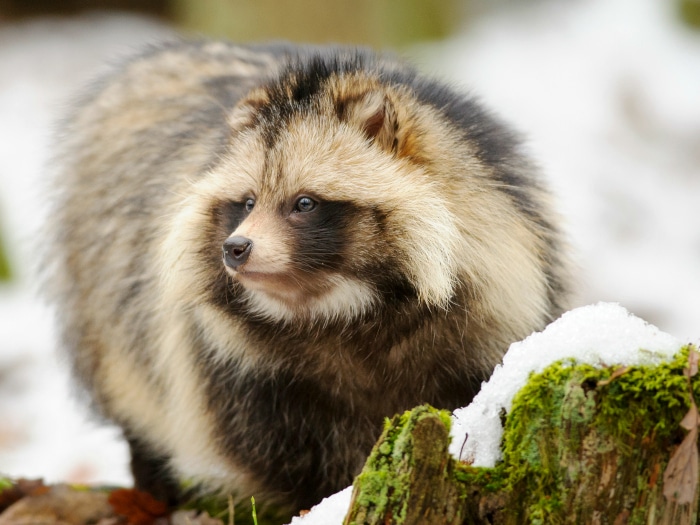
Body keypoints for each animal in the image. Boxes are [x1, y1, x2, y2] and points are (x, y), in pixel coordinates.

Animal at [49, 40, 572, 512]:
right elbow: (278, 449)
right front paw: (319, 502)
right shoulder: (240, 368)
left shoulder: (482, 317)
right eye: (247, 202)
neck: (336, 309)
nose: (235, 249)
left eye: (304, 203)